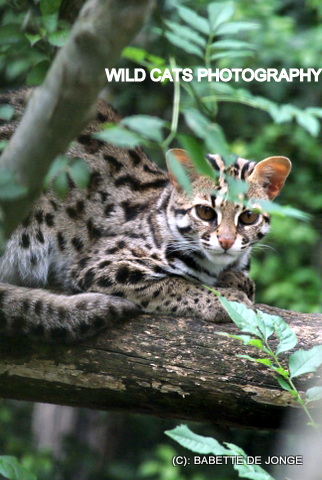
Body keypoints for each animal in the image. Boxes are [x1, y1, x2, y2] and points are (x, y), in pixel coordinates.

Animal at [0, 90, 292, 344]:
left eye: (248, 217)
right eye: (205, 212)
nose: (227, 241)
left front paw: (236, 282)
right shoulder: (97, 265)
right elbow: (174, 284)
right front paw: (225, 299)